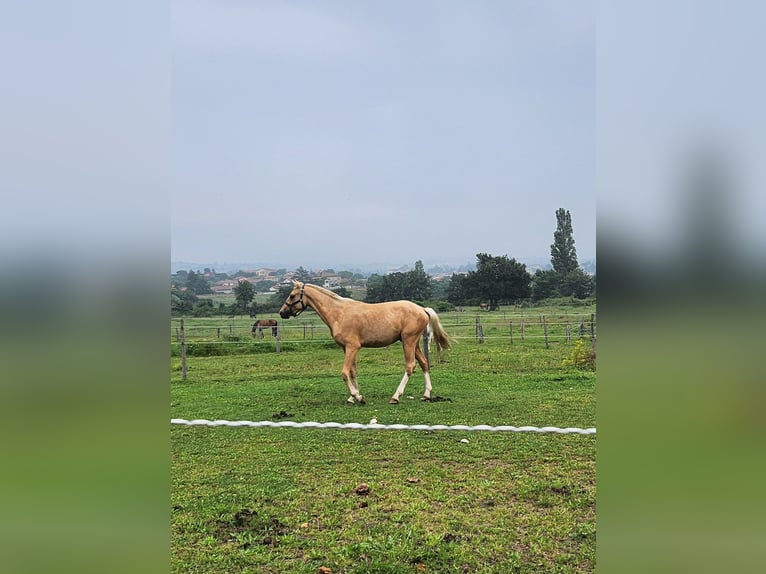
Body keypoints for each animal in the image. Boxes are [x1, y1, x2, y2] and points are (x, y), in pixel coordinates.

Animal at [280, 282, 450, 404]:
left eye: (292, 295)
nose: (282, 313)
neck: (339, 314)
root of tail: (422, 309)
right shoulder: (346, 348)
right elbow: (353, 372)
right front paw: (353, 397)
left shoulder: (352, 347)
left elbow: (344, 372)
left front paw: (357, 396)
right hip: (413, 343)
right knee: (424, 363)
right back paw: (426, 395)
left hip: (408, 341)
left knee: (410, 366)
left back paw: (395, 397)